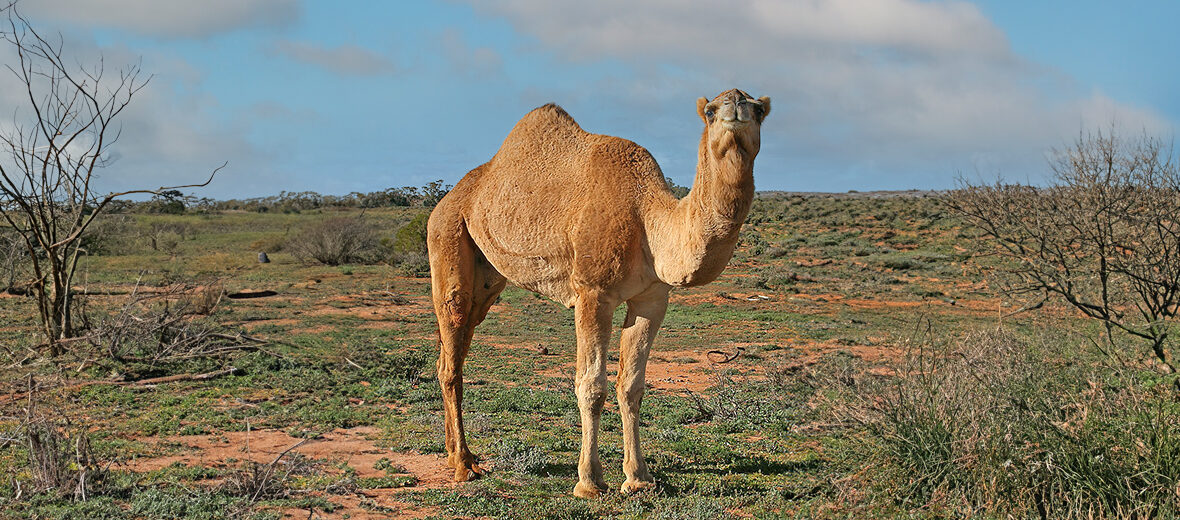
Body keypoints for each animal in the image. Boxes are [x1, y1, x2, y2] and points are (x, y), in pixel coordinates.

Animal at [429, 88, 769, 495]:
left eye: (760, 110)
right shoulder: (593, 292)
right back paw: (463, 465)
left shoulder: (652, 298)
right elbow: (591, 386)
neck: (647, 218)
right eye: (711, 111)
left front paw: (638, 478)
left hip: (487, 277)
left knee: (454, 348)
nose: (736, 104)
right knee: (452, 347)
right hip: (447, 236)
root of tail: (447, 199)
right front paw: (589, 481)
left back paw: (457, 455)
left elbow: (631, 386)